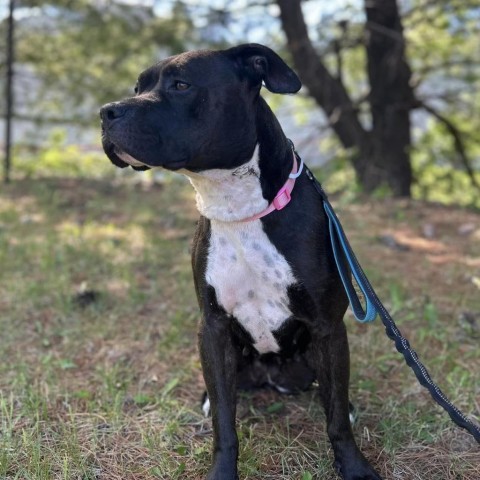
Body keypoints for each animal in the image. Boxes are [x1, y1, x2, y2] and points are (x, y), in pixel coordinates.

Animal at [101, 43, 382, 478]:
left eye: (181, 85)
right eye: (138, 87)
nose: (107, 111)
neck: (239, 208)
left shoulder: (328, 328)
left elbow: (335, 416)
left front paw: (353, 467)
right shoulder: (213, 329)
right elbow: (224, 420)